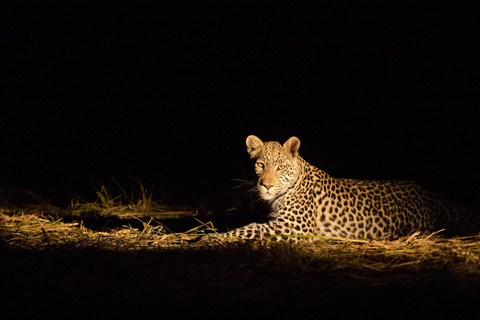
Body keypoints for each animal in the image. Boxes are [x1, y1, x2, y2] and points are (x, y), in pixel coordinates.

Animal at [202, 135, 476, 242]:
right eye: (260, 165)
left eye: (280, 167)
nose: (266, 185)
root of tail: (432, 195)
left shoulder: (292, 226)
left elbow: (248, 230)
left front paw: (213, 238)